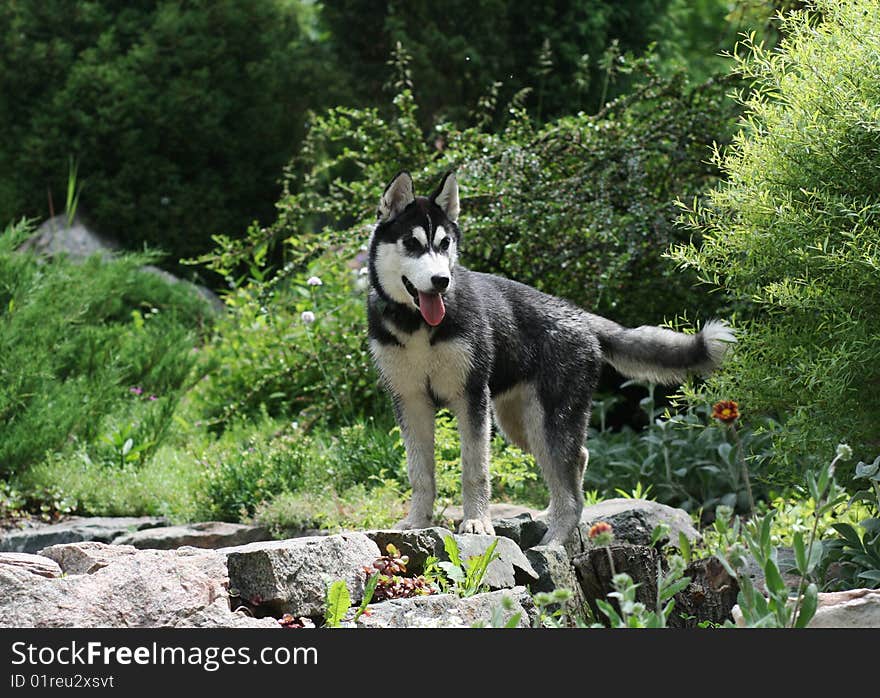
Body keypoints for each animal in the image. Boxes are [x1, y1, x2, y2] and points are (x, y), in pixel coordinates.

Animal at [366, 170, 736, 544]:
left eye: (444, 244)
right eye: (412, 244)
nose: (441, 280)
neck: (417, 326)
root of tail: (581, 316)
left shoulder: (470, 400)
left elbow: (475, 470)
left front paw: (477, 522)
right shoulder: (411, 401)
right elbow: (420, 473)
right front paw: (417, 522)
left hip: (545, 422)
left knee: (569, 487)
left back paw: (555, 539)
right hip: (522, 426)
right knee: (577, 461)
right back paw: (552, 515)